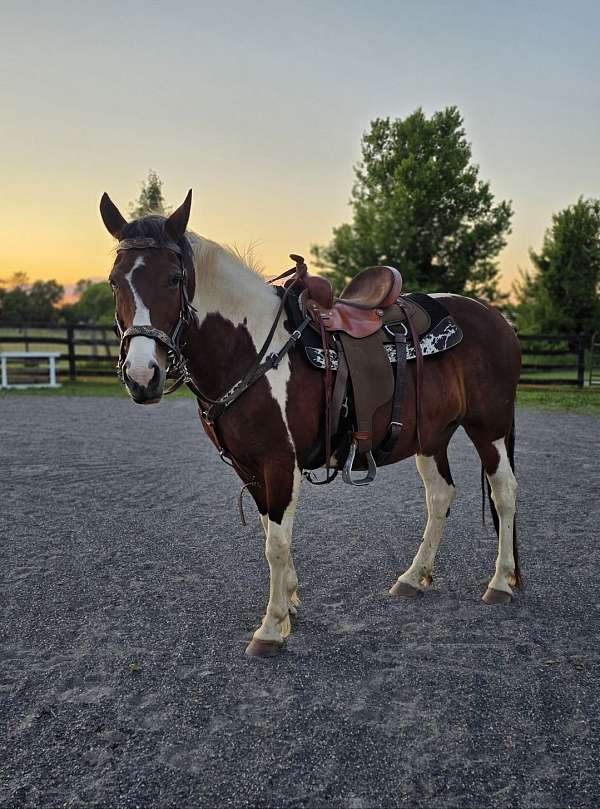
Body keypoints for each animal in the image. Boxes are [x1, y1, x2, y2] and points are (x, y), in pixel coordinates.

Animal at [100, 189, 522, 658]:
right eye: (114, 281)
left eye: (174, 279)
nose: (142, 377)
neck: (249, 351)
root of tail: (497, 318)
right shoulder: (248, 467)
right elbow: (270, 531)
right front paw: (290, 604)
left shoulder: (279, 462)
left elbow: (276, 543)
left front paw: (270, 627)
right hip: (430, 436)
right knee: (440, 496)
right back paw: (413, 577)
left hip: (489, 426)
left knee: (504, 493)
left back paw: (500, 582)